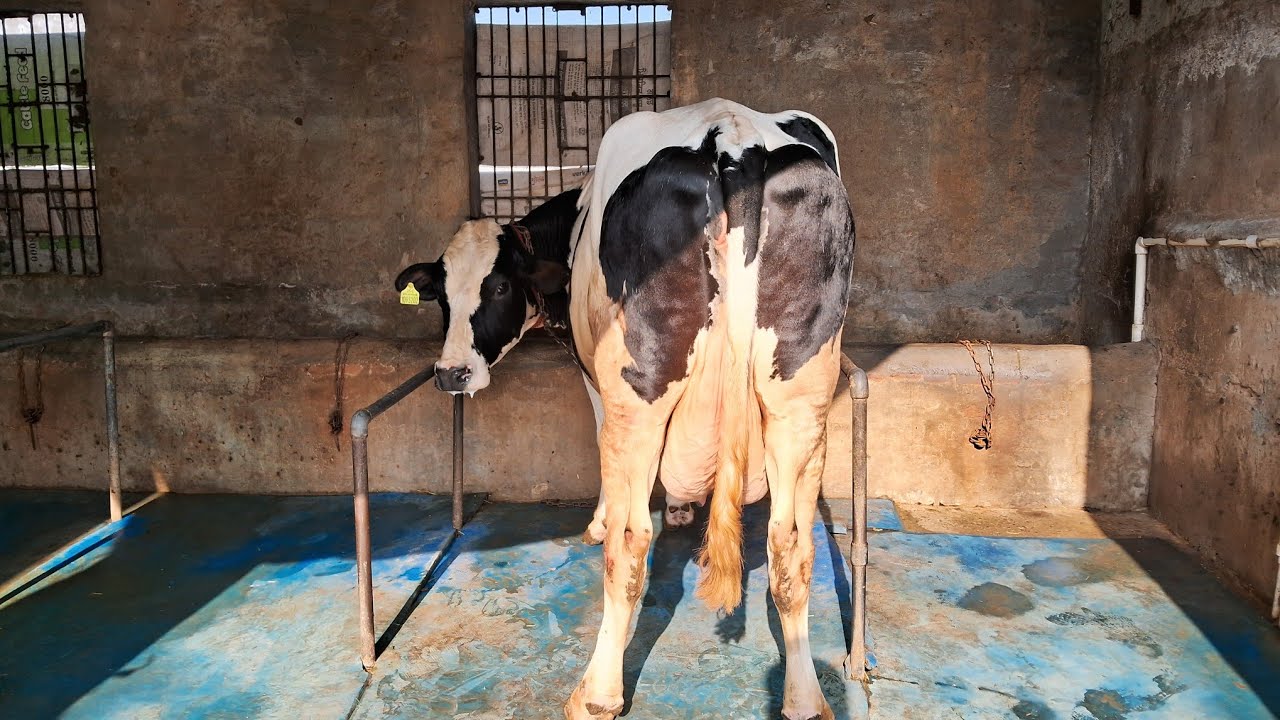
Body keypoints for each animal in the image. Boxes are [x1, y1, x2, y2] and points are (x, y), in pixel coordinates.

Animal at [395, 98, 854, 720]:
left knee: (632, 542)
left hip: (639, 396)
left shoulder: (597, 380)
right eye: (441, 295)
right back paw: (805, 697)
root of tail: (733, 137)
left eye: (498, 288)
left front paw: (599, 518)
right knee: (791, 545)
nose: (450, 373)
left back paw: (597, 691)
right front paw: (683, 507)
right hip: (801, 400)